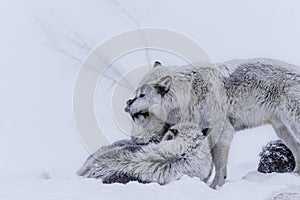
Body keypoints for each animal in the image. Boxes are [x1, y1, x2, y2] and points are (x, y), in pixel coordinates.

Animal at [124, 57, 300, 188]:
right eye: (136, 93)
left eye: (142, 95)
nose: (127, 103)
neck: (190, 94)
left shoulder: (222, 132)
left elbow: (219, 166)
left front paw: (215, 187)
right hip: (282, 130)